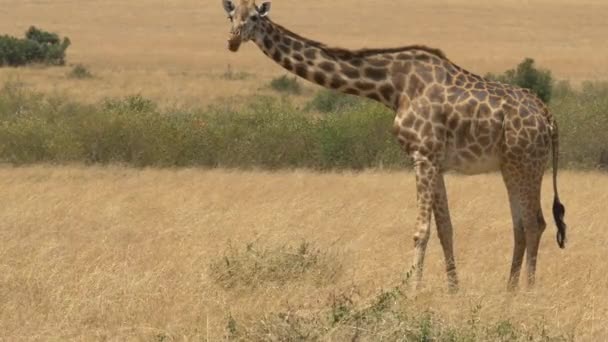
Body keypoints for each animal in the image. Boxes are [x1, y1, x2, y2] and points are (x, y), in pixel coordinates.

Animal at [221, 0, 568, 292]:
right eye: (230, 15)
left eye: (254, 18)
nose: (233, 41)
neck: (392, 86)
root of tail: (549, 117)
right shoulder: (434, 160)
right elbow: (445, 228)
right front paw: (453, 290)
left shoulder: (423, 155)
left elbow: (422, 229)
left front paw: (411, 290)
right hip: (510, 165)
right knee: (521, 225)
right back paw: (508, 289)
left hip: (526, 162)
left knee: (535, 223)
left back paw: (527, 290)